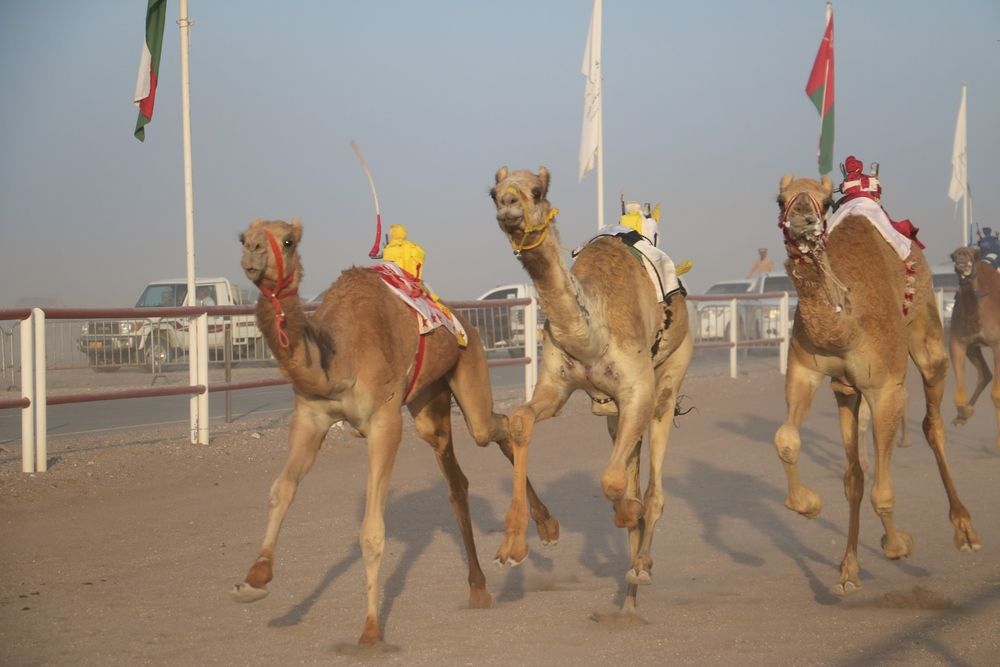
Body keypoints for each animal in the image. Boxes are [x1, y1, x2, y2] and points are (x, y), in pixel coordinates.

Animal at [234, 219, 564, 648]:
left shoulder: (384, 421)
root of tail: (465, 321)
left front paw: (371, 629)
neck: (338, 360)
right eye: (243, 237)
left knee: (499, 427)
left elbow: (372, 530)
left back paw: (539, 533)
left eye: (288, 241)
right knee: (458, 480)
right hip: (427, 404)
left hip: (469, 367)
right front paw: (255, 580)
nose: (253, 252)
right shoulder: (310, 417)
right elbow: (281, 490)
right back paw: (479, 586)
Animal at [488, 167, 692, 616]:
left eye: (537, 191)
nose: (508, 205)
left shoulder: (638, 389)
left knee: (653, 484)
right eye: (493, 192)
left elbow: (614, 482)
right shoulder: (556, 387)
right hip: (613, 412)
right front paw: (514, 546)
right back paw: (629, 598)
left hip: (671, 375)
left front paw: (630, 514)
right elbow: (520, 421)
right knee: (629, 464)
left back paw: (642, 566)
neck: (590, 332)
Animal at [772, 172, 976, 596]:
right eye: (780, 199)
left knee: (932, 421)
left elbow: (884, 492)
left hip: (926, 334)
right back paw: (849, 566)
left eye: (823, 202)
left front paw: (898, 546)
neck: (845, 324)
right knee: (855, 472)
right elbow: (787, 440)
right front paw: (810, 505)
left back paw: (964, 529)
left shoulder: (886, 390)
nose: (802, 219)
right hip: (848, 393)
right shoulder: (805, 371)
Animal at [944, 243, 1000, 452]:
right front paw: (964, 413)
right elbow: (959, 396)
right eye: (953, 255)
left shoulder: (997, 344)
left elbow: (997, 395)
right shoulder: (959, 343)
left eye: (974, 254)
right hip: (973, 349)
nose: (962, 256)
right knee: (985, 373)